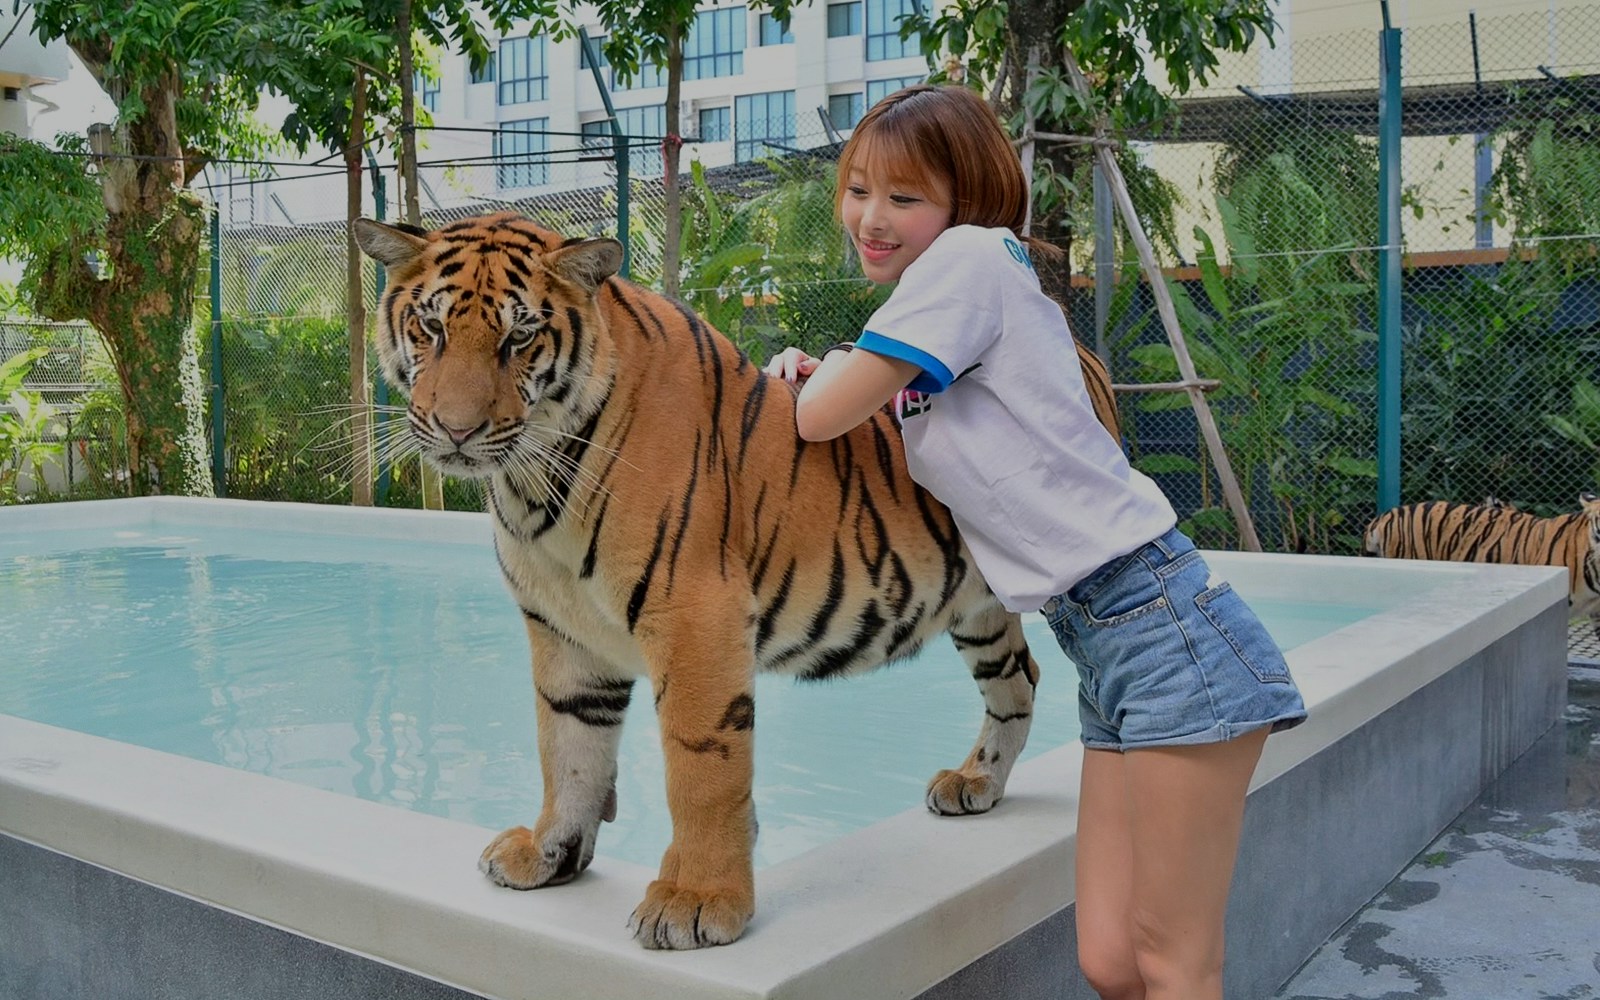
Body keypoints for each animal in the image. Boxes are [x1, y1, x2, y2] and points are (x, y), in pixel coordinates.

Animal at [352, 211, 1121, 950]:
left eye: (520, 338)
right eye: (430, 328)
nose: (455, 431)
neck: (533, 482)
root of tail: (1082, 350)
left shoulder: (695, 615)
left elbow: (700, 769)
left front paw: (696, 902)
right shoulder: (563, 630)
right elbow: (567, 748)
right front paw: (549, 855)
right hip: (977, 605)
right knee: (1018, 678)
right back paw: (977, 781)